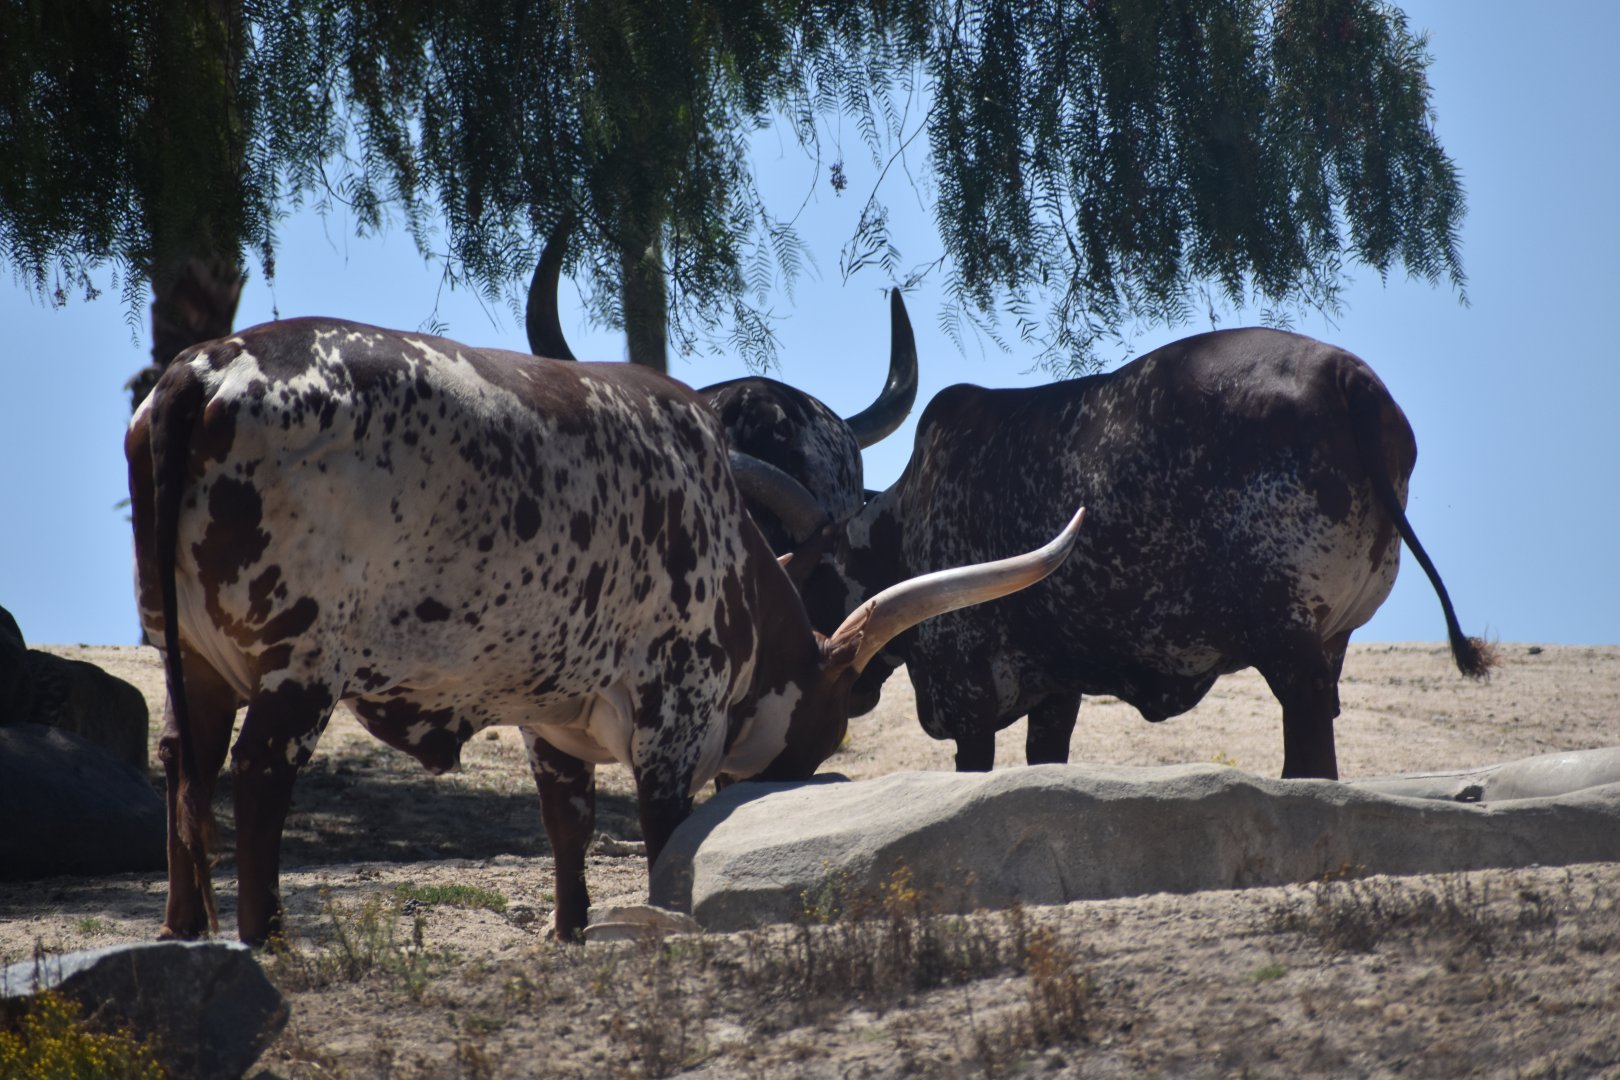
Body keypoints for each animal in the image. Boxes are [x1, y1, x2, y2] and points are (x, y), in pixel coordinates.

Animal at [125, 317, 1083, 944]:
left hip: (188, 656)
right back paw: (267, 937)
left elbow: (569, 827)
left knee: (183, 764)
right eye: (832, 712)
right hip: (301, 664)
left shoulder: (548, 721)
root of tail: (204, 372)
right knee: (258, 774)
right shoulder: (673, 714)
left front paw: (574, 932)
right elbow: (666, 835)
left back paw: (184, 930)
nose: (796, 778)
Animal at [772, 327, 1492, 781]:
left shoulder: (969, 699)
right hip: (1330, 643)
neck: (900, 530)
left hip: (1290, 651)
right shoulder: (1053, 696)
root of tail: (1348, 378)